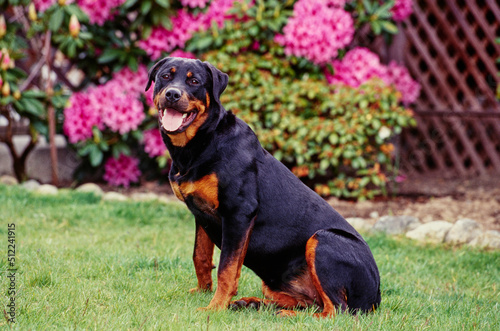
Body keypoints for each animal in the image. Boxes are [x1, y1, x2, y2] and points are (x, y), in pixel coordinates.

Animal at [146, 57, 380, 320]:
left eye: (194, 81)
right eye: (165, 76)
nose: (172, 94)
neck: (201, 143)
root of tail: (376, 297)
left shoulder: (239, 212)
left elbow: (227, 268)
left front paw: (214, 307)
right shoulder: (201, 214)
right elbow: (201, 256)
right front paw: (202, 291)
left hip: (323, 240)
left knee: (336, 310)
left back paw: (287, 315)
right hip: (276, 282)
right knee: (311, 302)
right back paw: (253, 304)